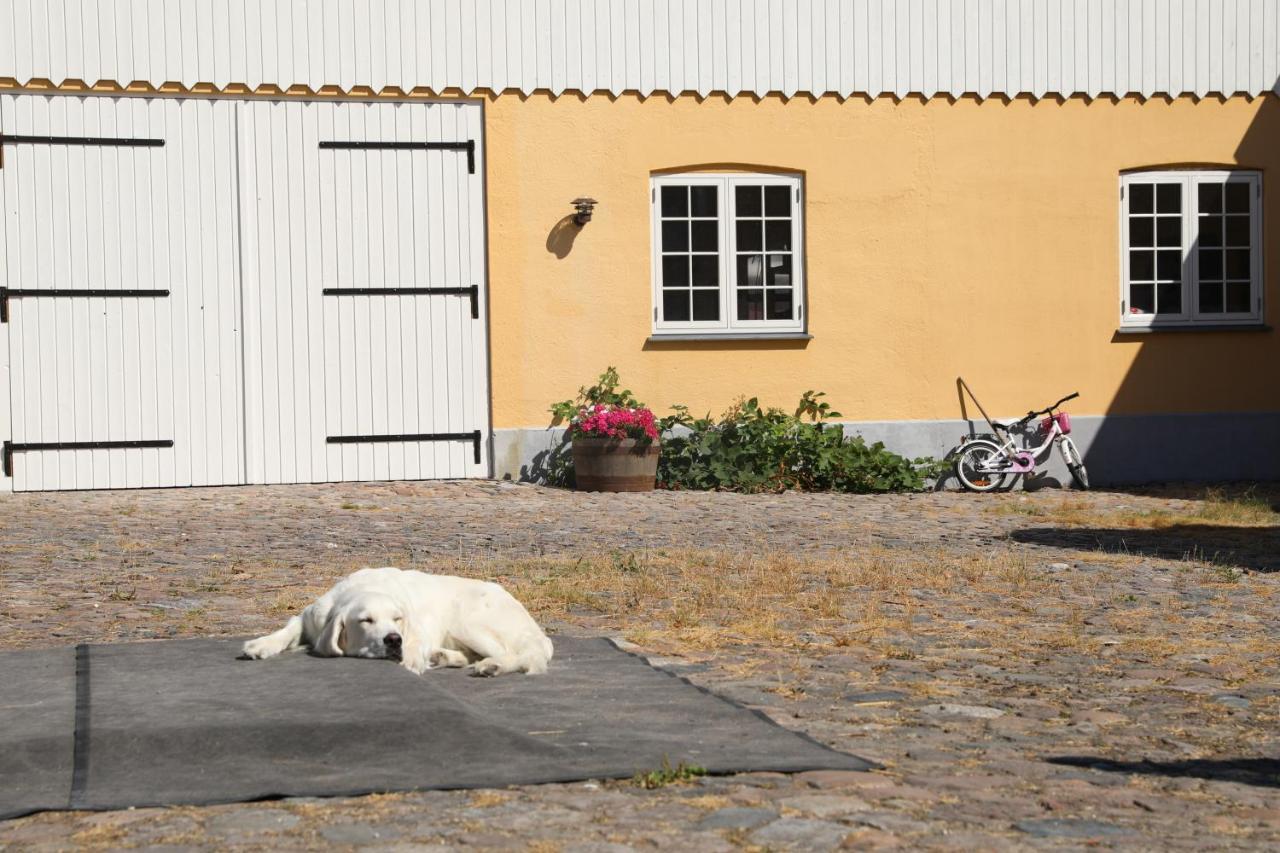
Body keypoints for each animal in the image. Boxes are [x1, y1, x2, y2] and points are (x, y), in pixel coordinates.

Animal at [241, 563, 552, 676]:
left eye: (397, 619)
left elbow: (414, 645)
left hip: (468, 622)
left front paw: (411, 661)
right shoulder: (311, 617)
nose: (393, 640)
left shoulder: (417, 629)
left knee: (519, 655)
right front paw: (261, 645)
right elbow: (288, 628)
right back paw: (445, 656)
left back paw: (493, 666)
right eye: (366, 620)